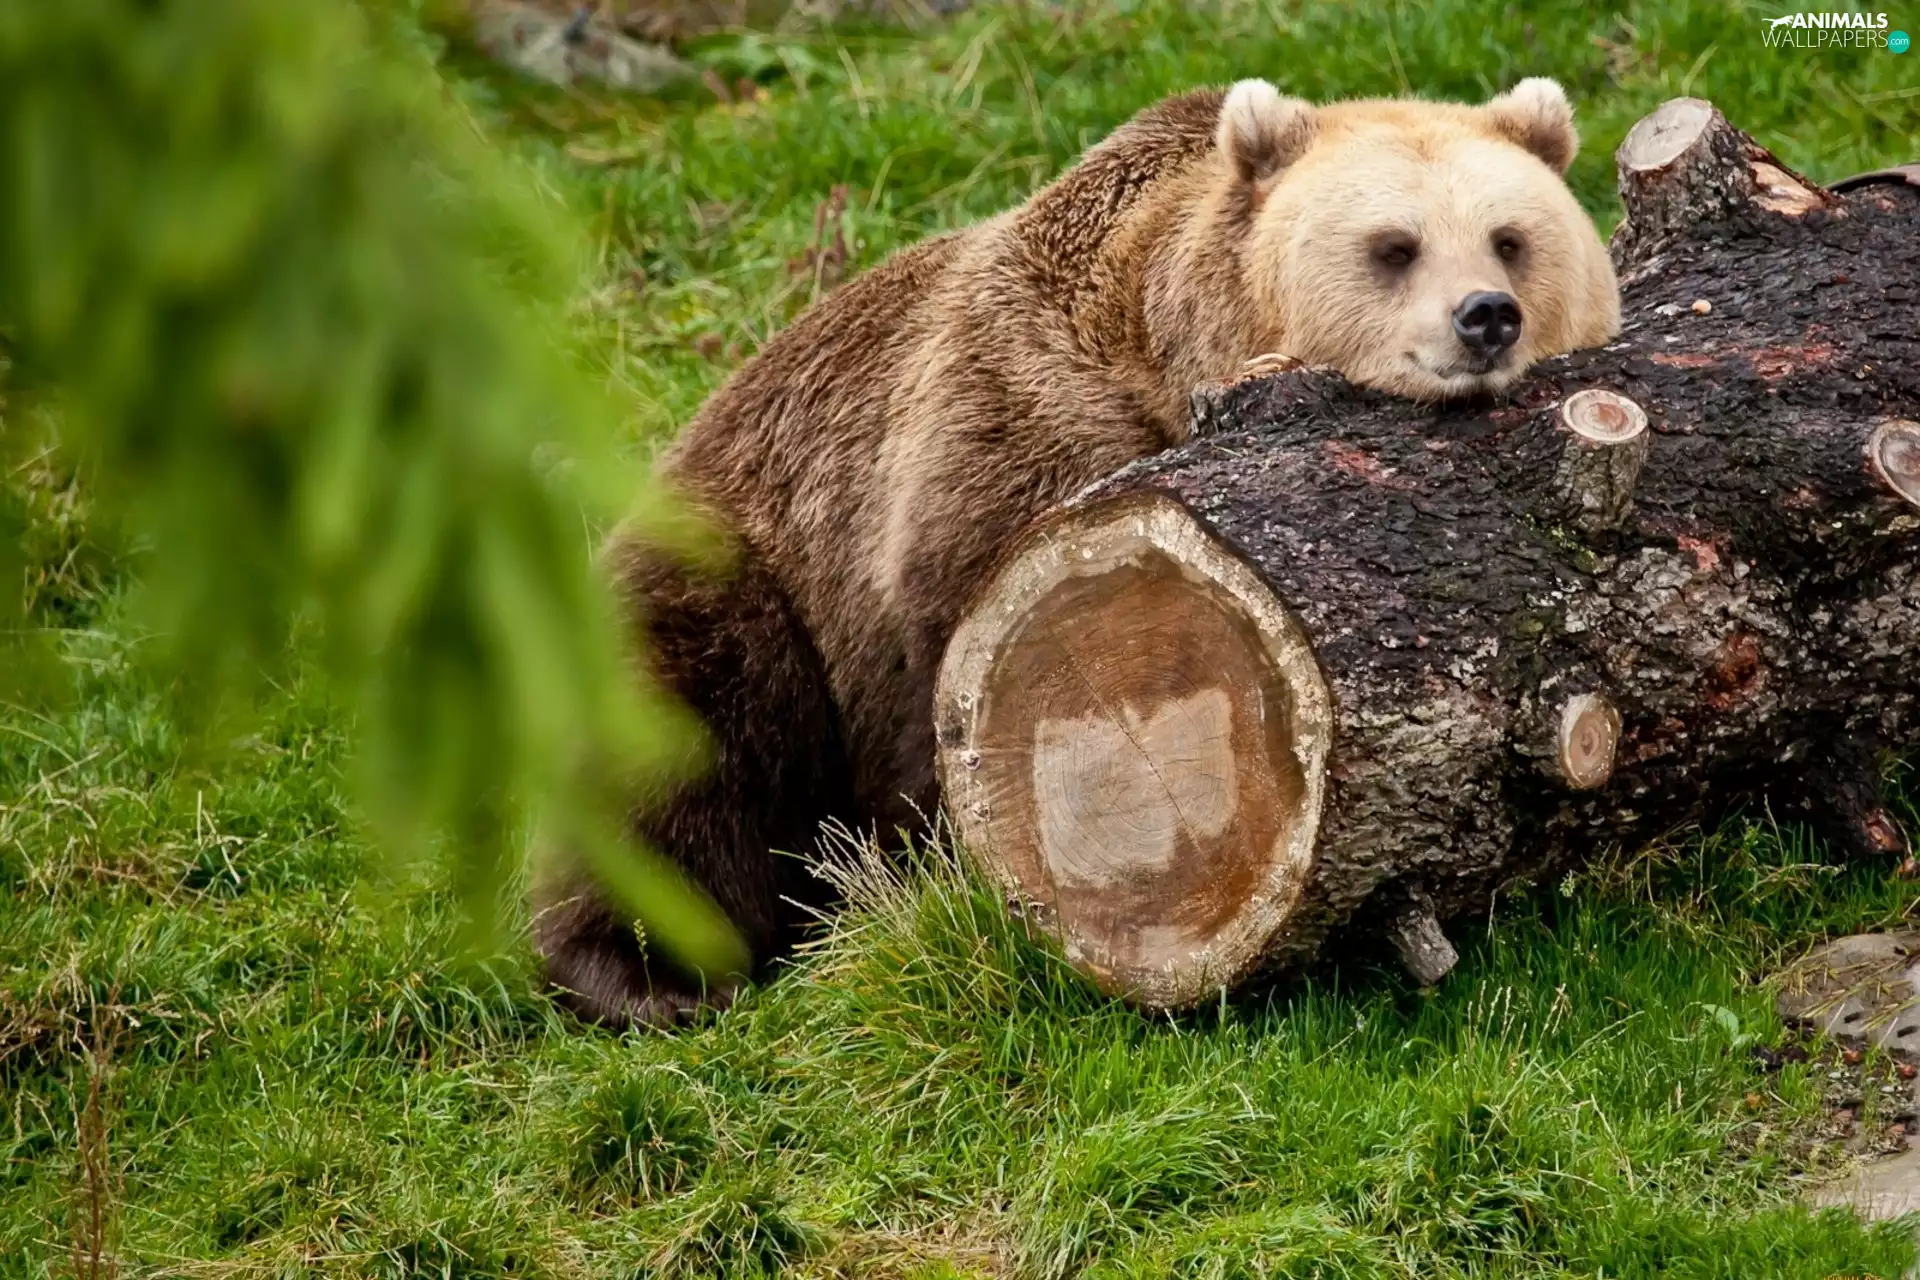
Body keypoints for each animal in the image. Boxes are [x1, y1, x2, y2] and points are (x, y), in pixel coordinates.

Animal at [533, 76, 1623, 1028]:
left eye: (1510, 239)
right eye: (1393, 246)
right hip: (740, 575)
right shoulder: (1009, 437)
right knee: (672, 750)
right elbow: (949, 667)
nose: (1484, 317)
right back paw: (649, 978)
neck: (1172, 355)